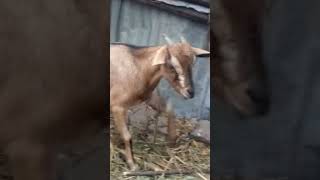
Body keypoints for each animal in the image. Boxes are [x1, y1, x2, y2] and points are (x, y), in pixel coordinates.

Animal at [110, 37, 210, 170]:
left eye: (192, 64)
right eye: (172, 65)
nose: (190, 93)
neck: (139, 67)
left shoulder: (148, 97)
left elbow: (169, 109)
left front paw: (172, 140)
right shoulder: (117, 106)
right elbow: (127, 135)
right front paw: (132, 164)